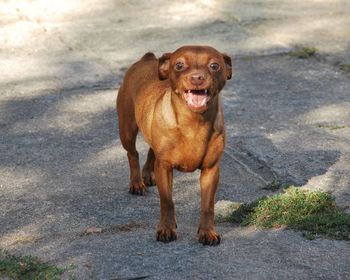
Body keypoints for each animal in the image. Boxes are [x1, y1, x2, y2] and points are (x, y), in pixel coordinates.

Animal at [117, 45, 232, 245]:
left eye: (214, 65)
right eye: (179, 65)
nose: (197, 77)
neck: (194, 123)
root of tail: (147, 59)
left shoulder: (210, 171)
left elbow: (207, 206)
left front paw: (207, 232)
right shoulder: (165, 168)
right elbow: (167, 202)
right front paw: (166, 229)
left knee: (151, 151)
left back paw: (148, 174)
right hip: (127, 131)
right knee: (133, 154)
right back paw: (137, 182)